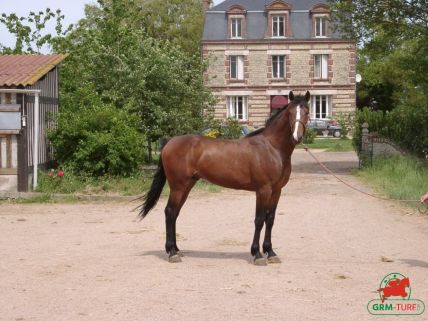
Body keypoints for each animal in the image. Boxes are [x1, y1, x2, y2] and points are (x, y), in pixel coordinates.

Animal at [140, 90, 310, 264]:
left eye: (306, 111)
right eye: (290, 112)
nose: (297, 137)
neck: (272, 148)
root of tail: (169, 142)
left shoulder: (276, 191)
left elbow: (270, 219)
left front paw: (270, 252)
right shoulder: (263, 190)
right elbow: (259, 220)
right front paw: (257, 254)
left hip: (187, 186)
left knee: (175, 213)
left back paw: (176, 249)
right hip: (178, 186)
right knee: (169, 212)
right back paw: (172, 253)